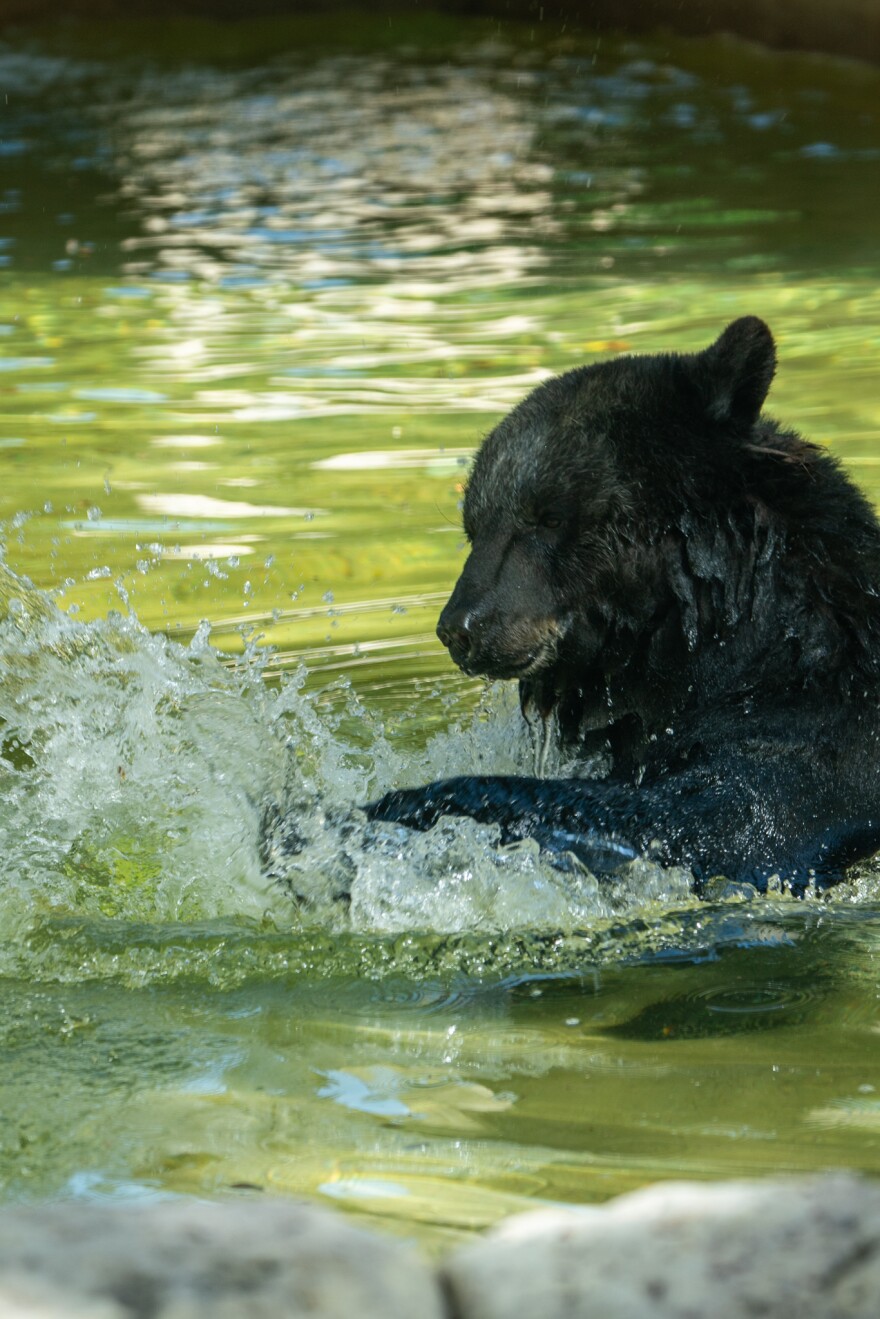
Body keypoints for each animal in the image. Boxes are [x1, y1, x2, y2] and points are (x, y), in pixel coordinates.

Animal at [366, 319, 880, 896]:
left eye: (546, 516)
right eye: (474, 526)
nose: (460, 628)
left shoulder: (808, 750)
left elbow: (695, 822)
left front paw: (404, 805)